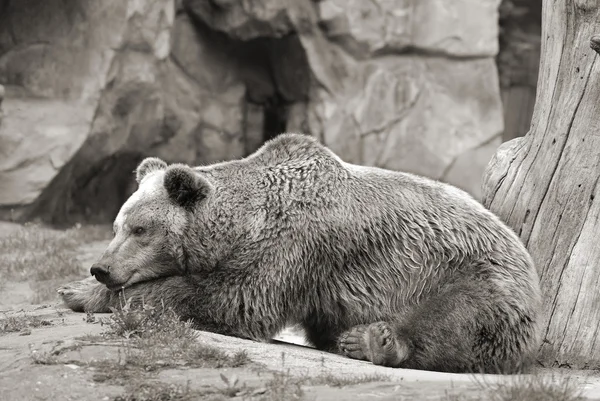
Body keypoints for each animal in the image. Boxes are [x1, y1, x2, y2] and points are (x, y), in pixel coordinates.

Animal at [58, 133, 540, 374]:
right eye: (118, 225)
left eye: (140, 229)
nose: (101, 268)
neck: (243, 224)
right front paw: (76, 289)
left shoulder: (297, 246)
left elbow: (235, 300)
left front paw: (104, 296)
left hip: (476, 276)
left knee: (455, 318)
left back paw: (373, 340)